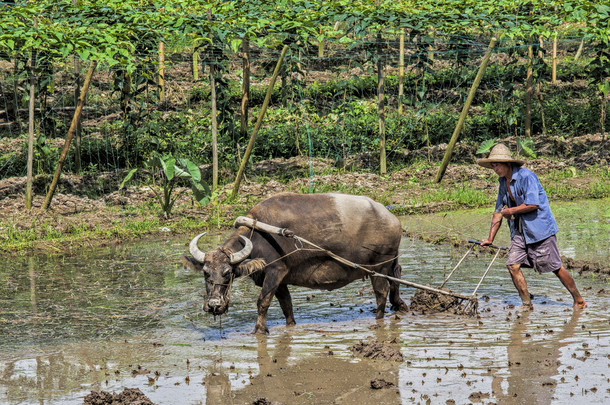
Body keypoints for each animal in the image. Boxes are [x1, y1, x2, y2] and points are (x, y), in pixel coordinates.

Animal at [182, 192, 408, 332]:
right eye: (205, 273)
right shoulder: (281, 280)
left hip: (379, 265)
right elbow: (286, 305)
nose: (214, 305)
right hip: (390, 262)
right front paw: (290, 324)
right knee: (396, 278)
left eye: (228, 273)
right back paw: (399, 305)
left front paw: (259, 329)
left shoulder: (275, 271)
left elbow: (263, 301)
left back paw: (378, 318)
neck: (259, 237)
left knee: (381, 293)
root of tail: (392, 218)